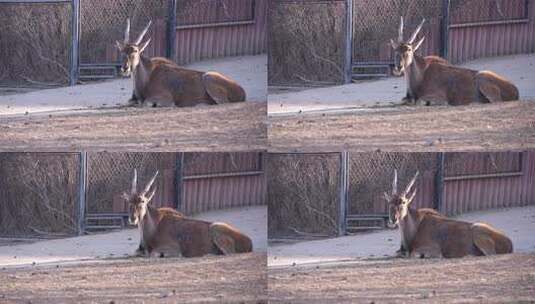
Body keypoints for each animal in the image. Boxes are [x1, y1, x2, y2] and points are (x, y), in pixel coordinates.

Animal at [115, 19, 247, 108]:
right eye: (122, 51)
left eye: (135, 51)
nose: (125, 68)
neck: (148, 76)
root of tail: (242, 92)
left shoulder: (165, 99)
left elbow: (145, 104)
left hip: (209, 77)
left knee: (222, 103)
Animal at [123, 169, 253, 256]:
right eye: (129, 202)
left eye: (142, 202)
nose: (132, 218)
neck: (155, 225)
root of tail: (249, 242)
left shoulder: (171, 250)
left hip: (216, 227)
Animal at [386, 170, 516, 258]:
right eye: (390, 202)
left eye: (403, 202)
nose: (393, 219)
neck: (416, 225)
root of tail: (509, 242)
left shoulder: (433, 250)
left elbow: (413, 254)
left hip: (478, 231)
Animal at [390, 17, 520, 106]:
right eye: (395, 50)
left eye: (409, 49)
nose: (398, 67)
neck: (421, 75)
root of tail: (515, 91)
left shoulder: (438, 97)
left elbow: (421, 101)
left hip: (482, 77)